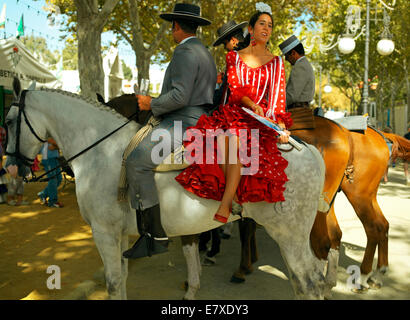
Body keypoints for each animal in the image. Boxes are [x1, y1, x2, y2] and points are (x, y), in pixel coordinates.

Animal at [5, 80, 326, 300]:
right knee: (304, 282)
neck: (101, 150)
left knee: (310, 282)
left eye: (7, 121)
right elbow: (122, 278)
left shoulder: (104, 232)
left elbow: (112, 282)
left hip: (289, 234)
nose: (11, 167)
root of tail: (305, 147)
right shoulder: (119, 235)